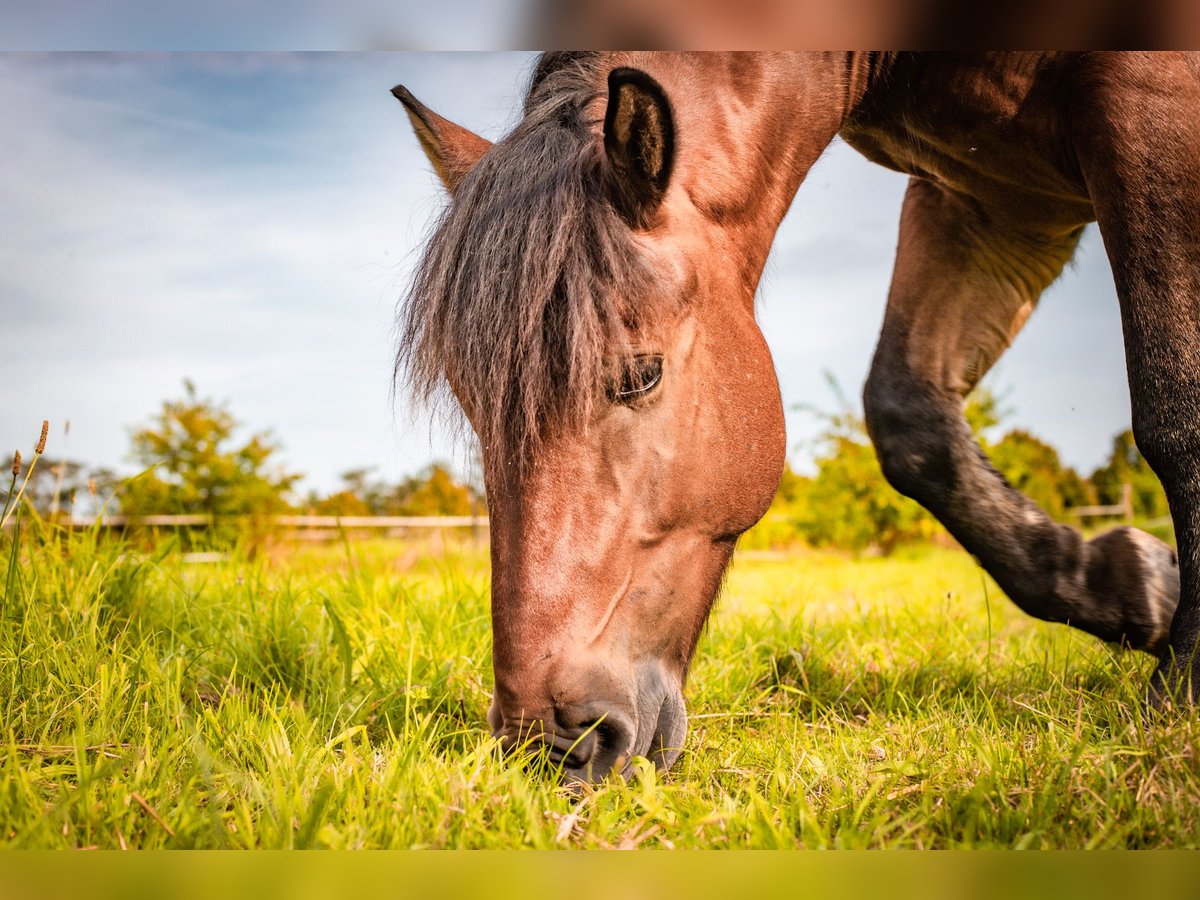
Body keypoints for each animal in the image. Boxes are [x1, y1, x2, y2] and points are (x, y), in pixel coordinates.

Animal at [393, 52, 1200, 783]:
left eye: (640, 375)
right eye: (473, 403)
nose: (551, 745)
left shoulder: (1148, 115)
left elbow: (1175, 411)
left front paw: (1182, 690)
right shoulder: (989, 199)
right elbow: (913, 425)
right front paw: (1138, 589)